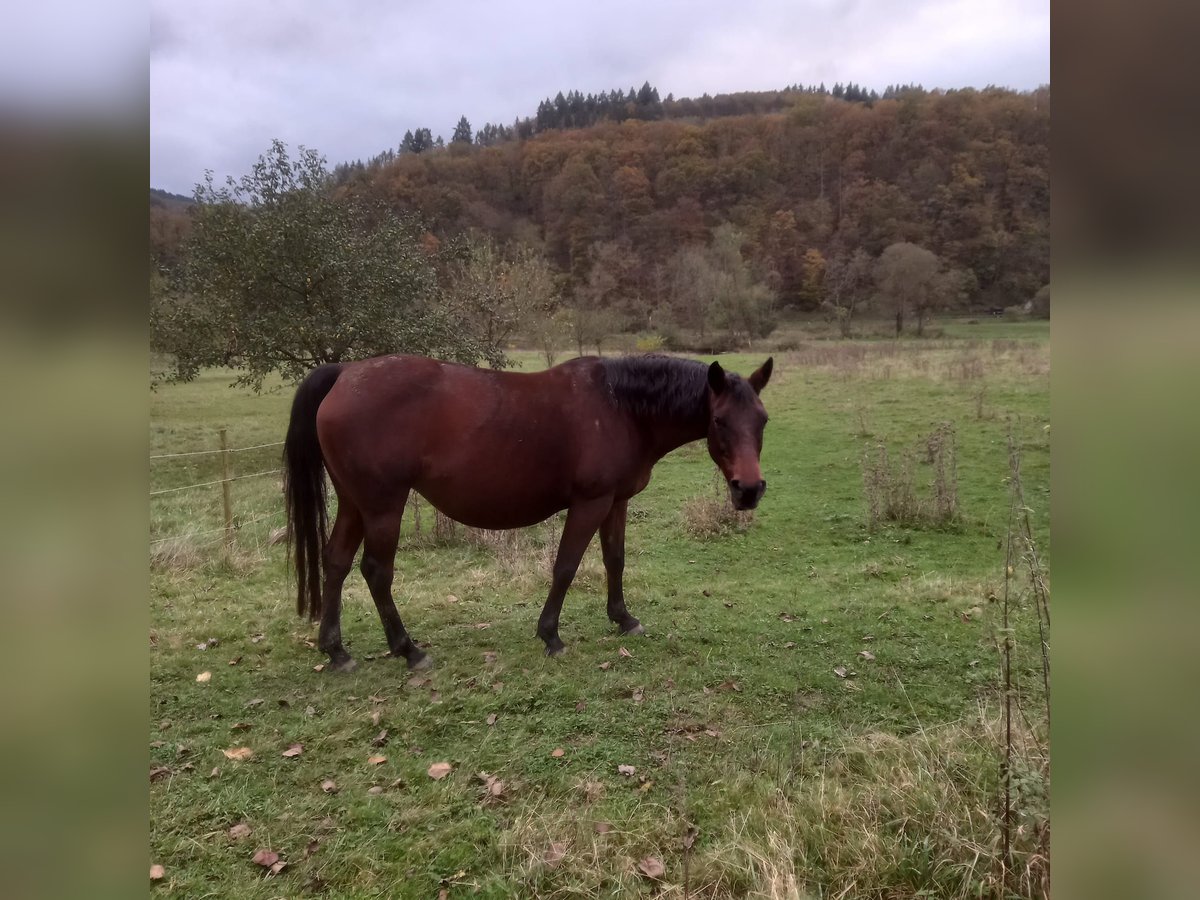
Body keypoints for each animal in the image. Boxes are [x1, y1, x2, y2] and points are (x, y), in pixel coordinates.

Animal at [284, 352, 772, 672]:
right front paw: (551, 635)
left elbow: (614, 559)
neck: (620, 406)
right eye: (719, 421)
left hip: (355, 502)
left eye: (762, 420)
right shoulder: (590, 502)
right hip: (384, 504)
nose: (748, 491)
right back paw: (409, 650)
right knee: (376, 571)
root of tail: (346, 373)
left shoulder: (616, 501)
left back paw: (336, 651)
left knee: (336, 562)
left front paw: (623, 619)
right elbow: (566, 566)